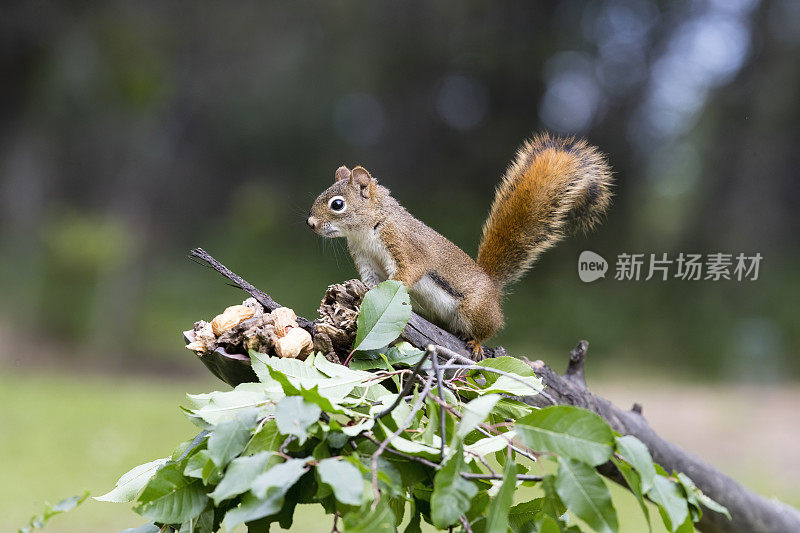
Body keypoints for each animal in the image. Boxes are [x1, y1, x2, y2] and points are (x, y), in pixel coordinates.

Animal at [306, 132, 612, 358]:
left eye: (337, 205)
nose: (310, 223)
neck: (367, 229)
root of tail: (492, 289)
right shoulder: (365, 258)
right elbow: (370, 280)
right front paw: (365, 291)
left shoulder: (405, 246)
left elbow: (407, 274)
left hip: (474, 309)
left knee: (489, 328)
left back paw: (476, 343)